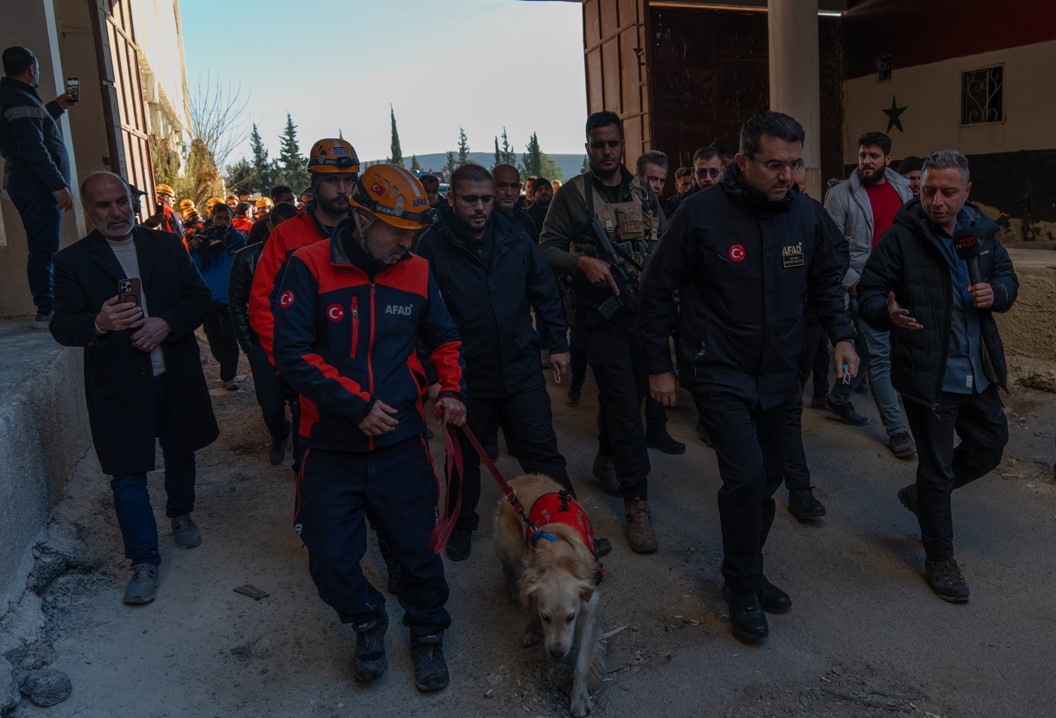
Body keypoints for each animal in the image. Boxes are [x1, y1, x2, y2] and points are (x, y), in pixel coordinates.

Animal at [492, 473, 604, 713]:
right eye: (546, 617)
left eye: (571, 617)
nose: (556, 653)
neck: (560, 555)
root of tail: (520, 479)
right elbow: (532, 611)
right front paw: (531, 632)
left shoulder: (587, 612)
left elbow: (581, 665)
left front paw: (579, 699)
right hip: (511, 544)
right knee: (507, 564)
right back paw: (511, 589)